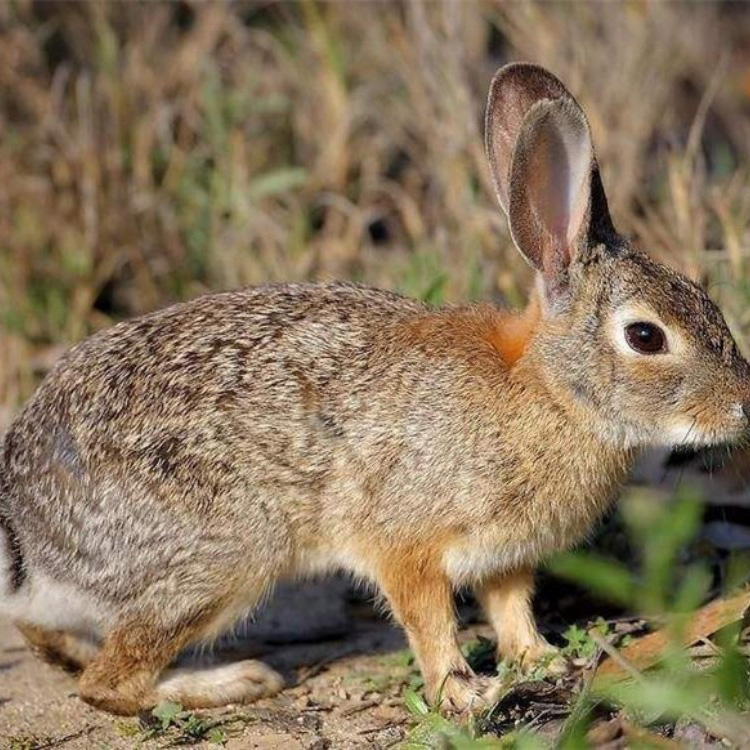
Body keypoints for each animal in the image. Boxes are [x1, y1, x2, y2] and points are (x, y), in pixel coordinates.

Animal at [1, 61, 750, 720]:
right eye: (646, 337)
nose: (743, 406)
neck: (548, 391)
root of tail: (26, 528)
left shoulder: (505, 557)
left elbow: (510, 608)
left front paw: (541, 660)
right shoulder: (406, 542)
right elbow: (428, 620)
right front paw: (463, 694)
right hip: (224, 554)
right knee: (107, 684)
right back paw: (231, 681)